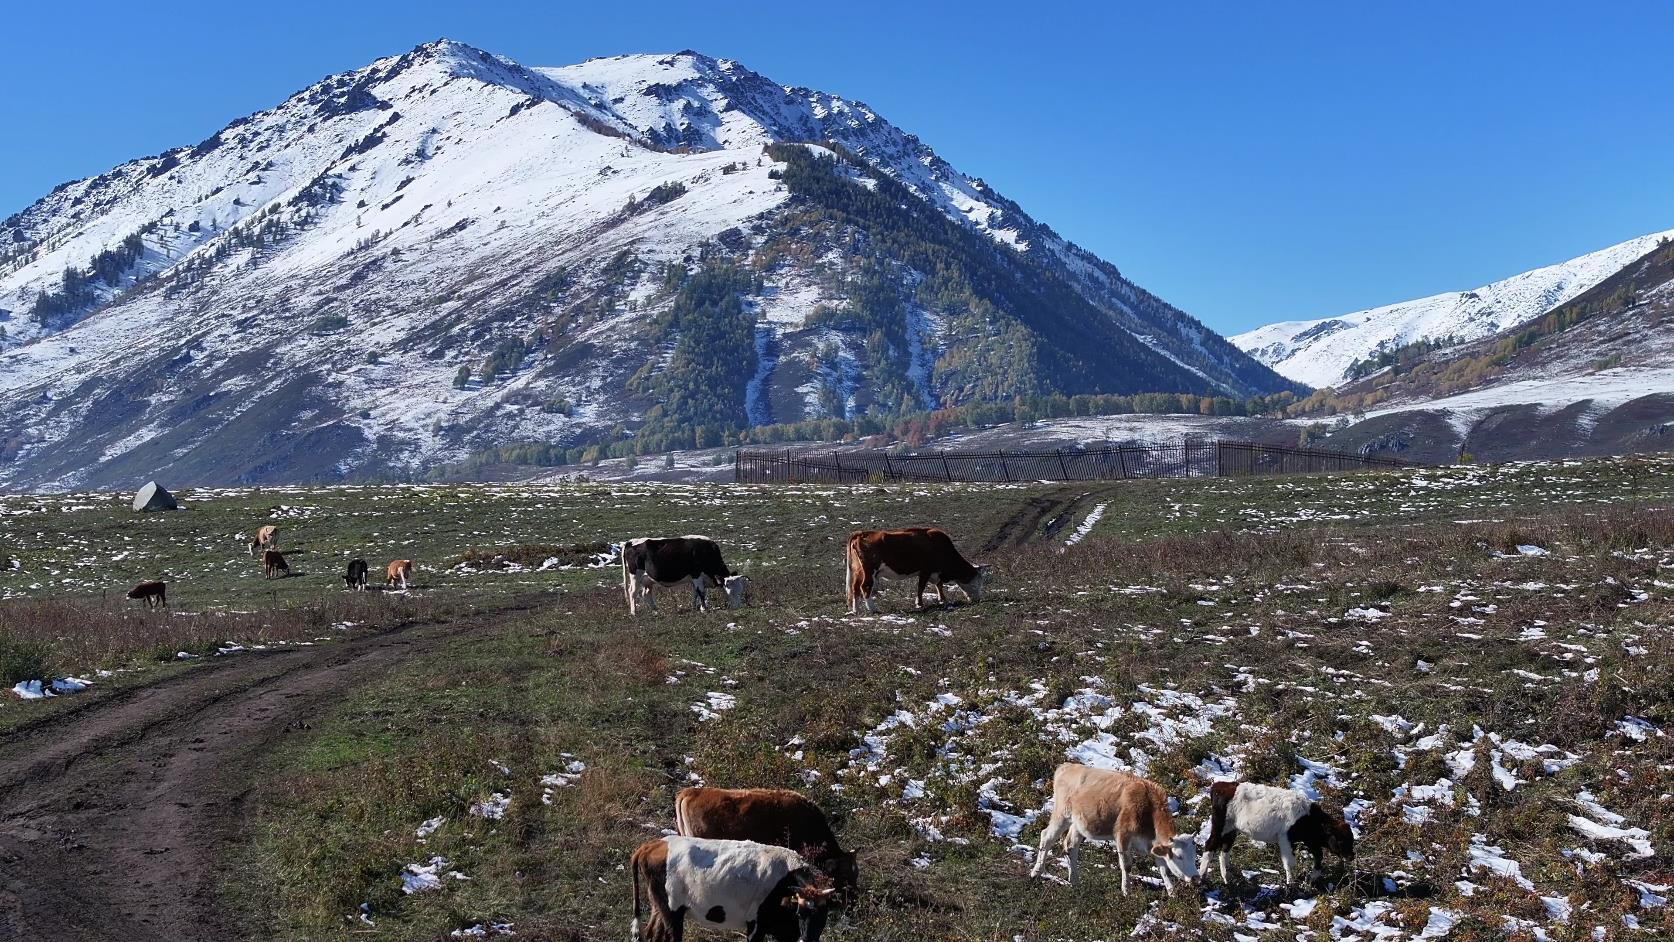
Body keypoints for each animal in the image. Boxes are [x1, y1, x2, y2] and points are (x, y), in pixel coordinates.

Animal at [843, 528, 984, 615]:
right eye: (976, 582)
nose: (978, 599)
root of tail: (862, 533)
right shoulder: (926, 570)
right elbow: (921, 587)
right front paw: (919, 604)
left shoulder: (935, 572)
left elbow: (939, 585)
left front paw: (942, 599)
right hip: (869, 571)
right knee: (865, 586)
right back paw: (873, 609)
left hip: (858, 570)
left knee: (855, 587)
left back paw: (856, 610)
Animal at [1024, 762, 1198, 896]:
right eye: (1179, 856)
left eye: (1194, 855)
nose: (1196, 877)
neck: (1148, 807)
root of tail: (1066, 766)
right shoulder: (1122, 834)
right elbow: (1126, 865)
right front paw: (1126, 891)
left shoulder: (1153, 844)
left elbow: (1163, 868)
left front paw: (1171, 893)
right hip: (1061, 814)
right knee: (1046, 837)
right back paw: (1036, 873)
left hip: (1078, 823)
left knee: (1070, 845)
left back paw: (1075, 882)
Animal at [1198, 783, 1352, 883]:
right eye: (1340, 839)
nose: (1351, 855)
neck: (1307, 818)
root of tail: (1220, 786)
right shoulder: (1286, 839)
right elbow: (1290, 863)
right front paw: (1291, 884)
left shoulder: (1309, 841)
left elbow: (1319, 856)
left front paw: (1312, 877)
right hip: (1220, 826)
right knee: (1210, 845)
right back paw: (1201, 877)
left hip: (1231, 830)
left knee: (1224, 850)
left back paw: (1227, 876)